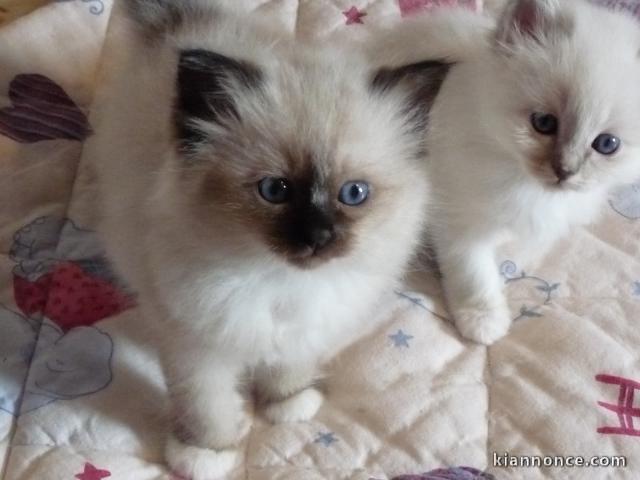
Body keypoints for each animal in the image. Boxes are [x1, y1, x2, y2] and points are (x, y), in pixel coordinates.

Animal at [94, 1, 450, 478]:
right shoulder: (196, 347)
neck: (281, 281)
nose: (318, 237)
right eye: (275, 190)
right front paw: (205, 455)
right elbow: (206, 407)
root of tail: (187, 23)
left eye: (353, 194)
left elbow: (287, 373)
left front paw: (287, 405)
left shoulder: (302, 332)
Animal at [428, 0, 640, 344]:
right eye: (543, 123)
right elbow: (474, 273)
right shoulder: (457, 217)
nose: (565, 171)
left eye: (607, 144)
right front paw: (483, 320)